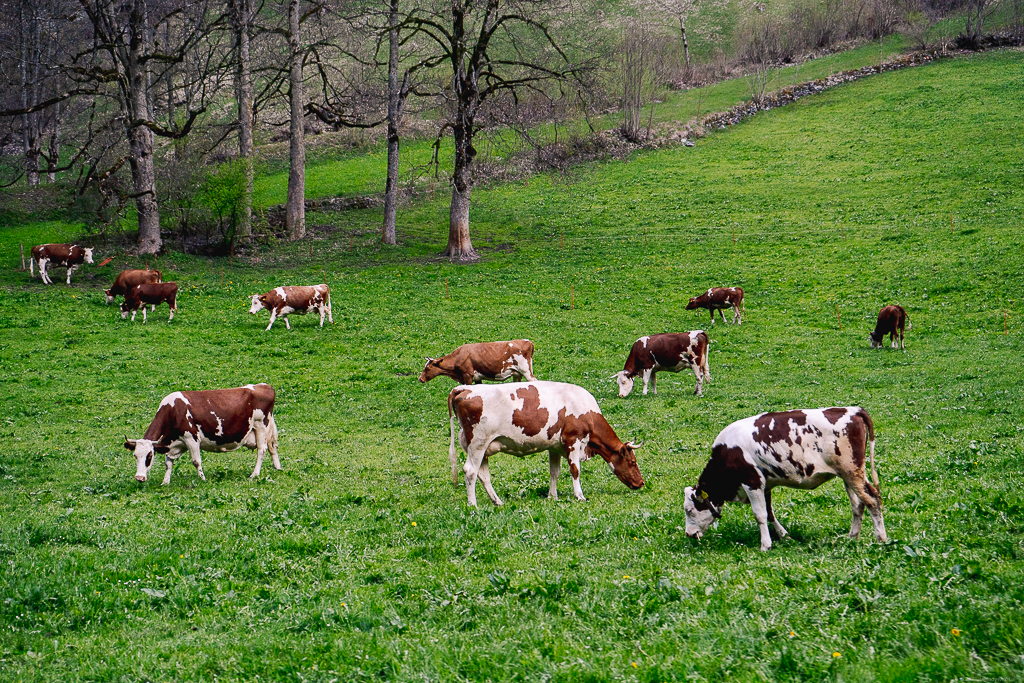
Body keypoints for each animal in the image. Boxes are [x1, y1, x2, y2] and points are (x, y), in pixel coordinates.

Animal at [125, 382, 282, 483]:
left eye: (150, 456)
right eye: (135, 455)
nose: (139, 478)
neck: (173, 411)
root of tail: (264, 385)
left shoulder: (191, 438)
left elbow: (196, 461)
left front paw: (202, 479)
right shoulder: (174, 443)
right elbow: (168, 463)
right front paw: (165, 482)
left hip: (261, 425)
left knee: (262, 450)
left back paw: (254, 474)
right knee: (272, 447)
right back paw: (278, 468)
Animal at [446, 378, 638, 507]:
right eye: (632, 462)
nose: (641, 482)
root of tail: (463, 388)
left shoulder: (555, 446)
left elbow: (554, 472)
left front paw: (552, 496)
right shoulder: (573, 440)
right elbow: (575, 470)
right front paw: (579, 496)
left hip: (481, 447)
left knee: (483, 475)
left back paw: (497, 501)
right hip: (478, 443)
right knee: (470, 471)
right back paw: (473, 505)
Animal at [679, 409, 888, 552]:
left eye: (689, 510)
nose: (689, 534)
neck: (728, 451)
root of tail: (852, 410)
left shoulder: (752, 482)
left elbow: (760, 515)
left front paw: (765, 544)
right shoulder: (765, 484)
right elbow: (770, 513)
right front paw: (783, 535)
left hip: (852, 472)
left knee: (872, 499)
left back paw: (881, 538)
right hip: (849, 476)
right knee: (858, 505)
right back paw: (852, 537)